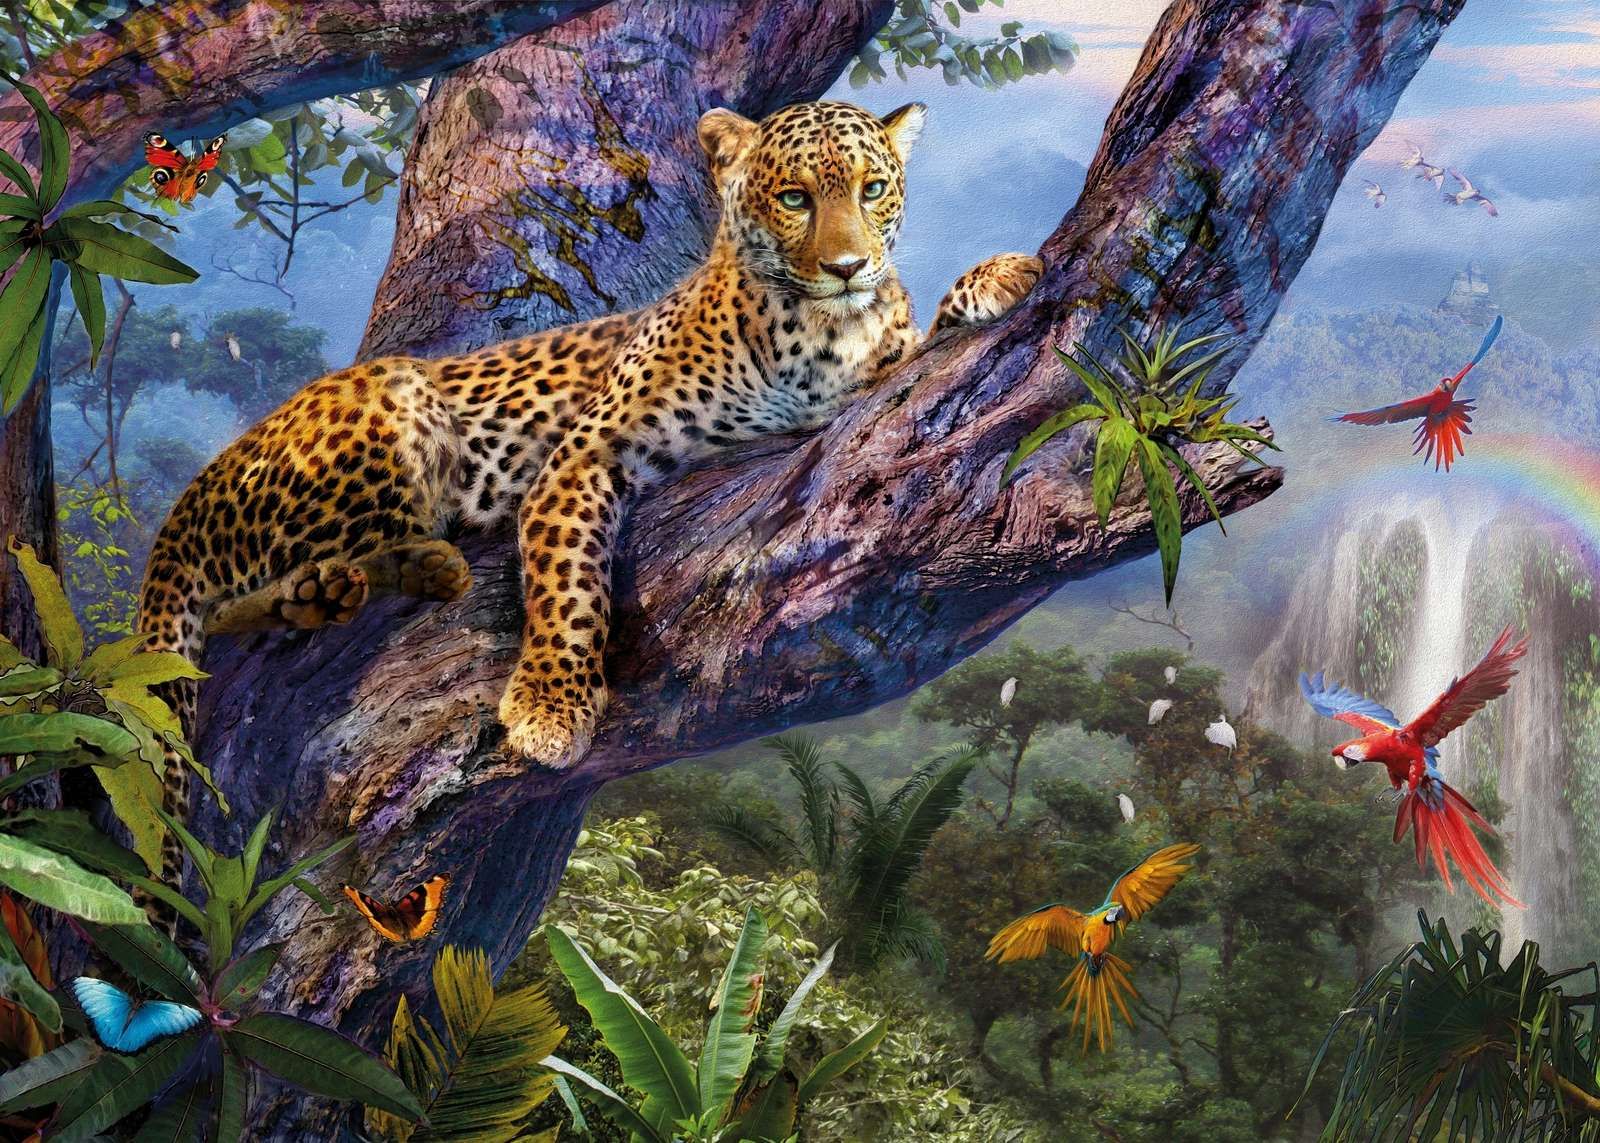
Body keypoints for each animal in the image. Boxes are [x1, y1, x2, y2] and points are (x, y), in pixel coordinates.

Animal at [136, 98, 1043, 869]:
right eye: (793, 197)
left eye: (872, 189)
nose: (850, 265)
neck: (815, 331)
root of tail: (199, 484)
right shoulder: (587, 455)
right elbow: (570, 586)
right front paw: (549, 708)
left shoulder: (867, 391)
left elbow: (920, 342)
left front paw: (1000, 275)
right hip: (395, 400)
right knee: (231, 598)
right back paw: (353, 583)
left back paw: (370, 581)